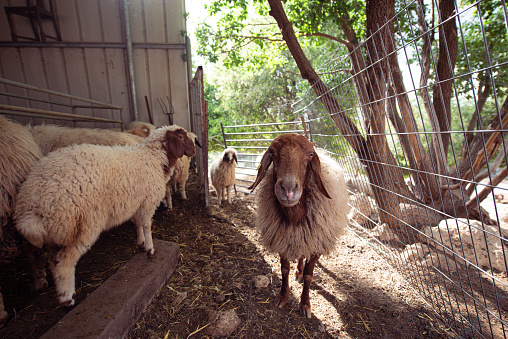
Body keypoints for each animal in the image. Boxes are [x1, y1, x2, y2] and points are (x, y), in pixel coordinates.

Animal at [13, 125, 196, 308]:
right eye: (180, 136)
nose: (193, 151)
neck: (153, 158)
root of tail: (33, 205)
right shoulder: (148, 201)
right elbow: (146, 225)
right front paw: (150, 249)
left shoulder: (136, 202)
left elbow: (137, 223)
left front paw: (141, 243)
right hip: (84, 225)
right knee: (64, 262)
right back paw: (68, 298)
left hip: (59, 231)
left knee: (53, 261)